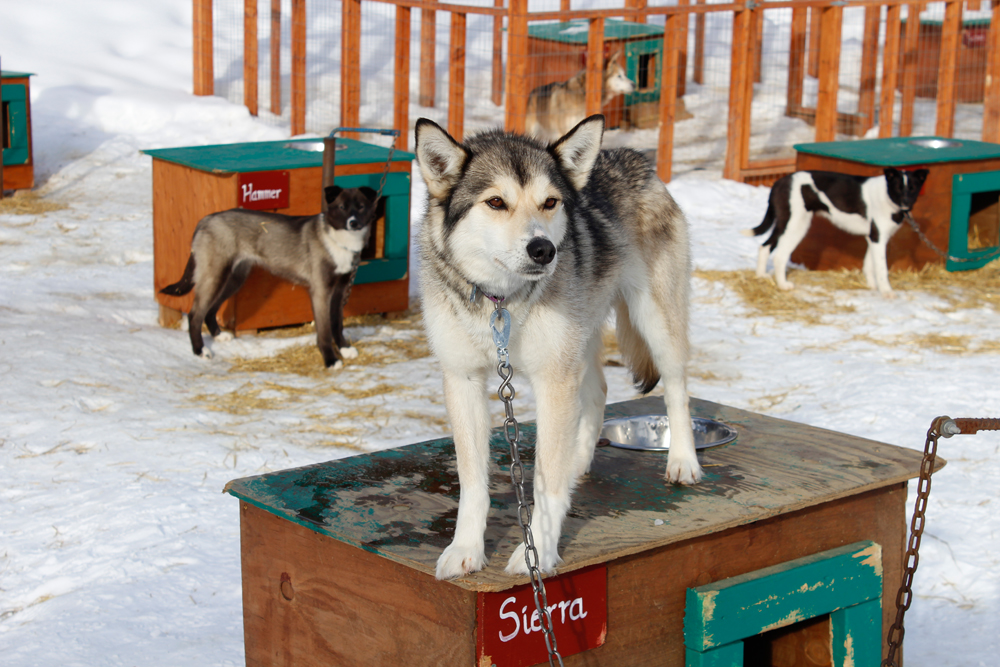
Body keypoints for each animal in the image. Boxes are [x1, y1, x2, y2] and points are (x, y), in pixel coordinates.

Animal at [160, 185, 378, 368]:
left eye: (361, 207)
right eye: (342, 207)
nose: (353, 223)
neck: (337, 239)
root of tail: (206, 220)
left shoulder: (340, 289)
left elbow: (337, 323)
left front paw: (344, 349)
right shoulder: (321, 291)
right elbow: (324, 330)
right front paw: (330, 360)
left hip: (234, 278)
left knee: (210, 310)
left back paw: (219, 337)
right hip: (215, 275)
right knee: (195, 314)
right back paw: (200, 350)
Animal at [412, 115, 696, 580]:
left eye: (549, 203)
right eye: (496, 202)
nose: (543, 249)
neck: (500, 302)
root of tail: (632, 155)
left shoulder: (552, 380)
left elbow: (545, 482)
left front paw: (539, 553)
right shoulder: (463, 378)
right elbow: (473, 482)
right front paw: (465, 550)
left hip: (655, 324)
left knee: (676, 388)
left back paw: (683, 461)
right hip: (580, 342)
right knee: (598, 391)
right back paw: (578, 462)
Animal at [748, 168, 932, 296]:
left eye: (913, 188)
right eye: (898, 188)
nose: (906, 202)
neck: (887, 195)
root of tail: (779, 181)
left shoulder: (873, 238)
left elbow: (869, 265)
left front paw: (872, 286)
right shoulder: (878, 238)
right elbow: (881, 268)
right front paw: (886, 291)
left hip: (783, 224)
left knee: (764, 246)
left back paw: (760, 276)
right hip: (796, 225)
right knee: (780, 256)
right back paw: (783, 285)